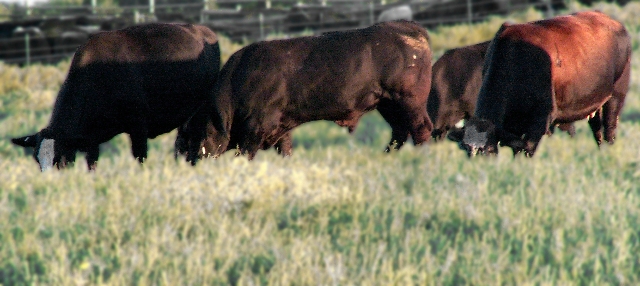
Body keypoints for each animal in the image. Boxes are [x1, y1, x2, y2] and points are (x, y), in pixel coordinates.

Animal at [9, 23, 220, 171]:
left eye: (59, 158)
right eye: (37, 160)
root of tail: (202, 30)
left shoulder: (138, 127)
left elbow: (140, 158)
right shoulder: (91, 138)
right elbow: (92, 164)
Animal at [181, 20, 436, 165]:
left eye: (194, 130)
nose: (187, 159)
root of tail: (412, 29)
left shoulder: (256, 127)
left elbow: (246, 153)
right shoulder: (280, 127)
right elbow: (285, 149)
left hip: (408, 102)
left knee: (421, 129)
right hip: (388, 104)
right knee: (400, 132)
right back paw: (386, 157)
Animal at [448, 11, 632, 156]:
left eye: (488, 151)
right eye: (465, 150)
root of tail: (614, 22)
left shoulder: (540, 121)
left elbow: (527, 149)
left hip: (616, 97)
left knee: (609, 130)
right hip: (595, 102)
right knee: (597, 131)